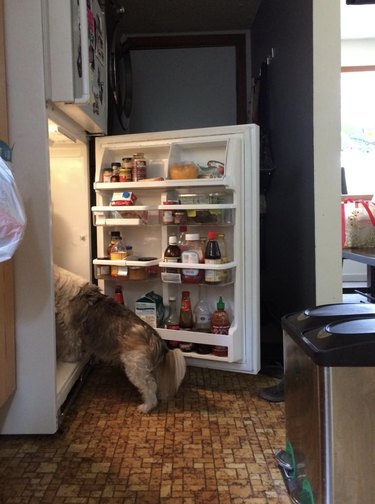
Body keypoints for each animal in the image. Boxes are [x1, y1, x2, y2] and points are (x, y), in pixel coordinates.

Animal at [54, 266, 187, 412]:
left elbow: (73, 346)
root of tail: (153, 336)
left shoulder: (72, 331)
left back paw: (146, 406)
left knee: (149, 386)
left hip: (134, 366)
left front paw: (69, 358)